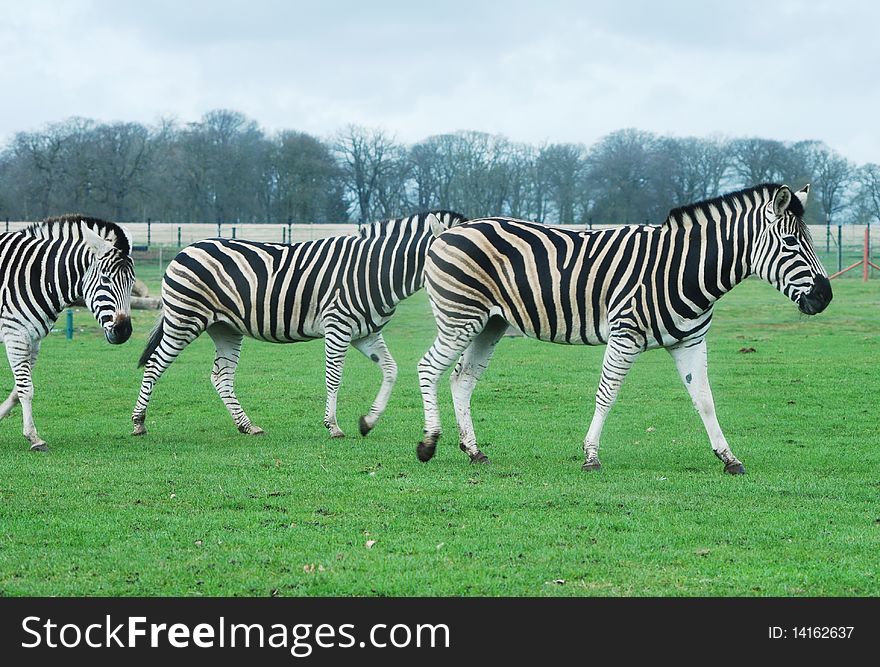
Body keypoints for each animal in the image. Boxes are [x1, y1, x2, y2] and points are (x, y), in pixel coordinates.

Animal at [0, 217, 134, 452]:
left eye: (132, 282)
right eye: (106, 280)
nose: (124, 331)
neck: (39, 276)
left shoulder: (33, 339)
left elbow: (18, 389)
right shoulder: (16, 335)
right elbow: (26, 388)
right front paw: (34, 438)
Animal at [131, 209, 468, 438]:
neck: (375, 270)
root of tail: (186, 249)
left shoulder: (366, 334)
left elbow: (391, 370)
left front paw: (369, 421)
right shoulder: (338, 326)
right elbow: (334, 377)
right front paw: (333, 426)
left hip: (225, 329)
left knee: (221, 377)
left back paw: (247, 425)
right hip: (184, 320)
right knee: (155, 365)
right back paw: (138, 423)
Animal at [418, 183, 832, 474]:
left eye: (812, 241)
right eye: (791, 242)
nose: (825, 297)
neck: (682, 268)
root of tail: (447, 231)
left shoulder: (690, 341)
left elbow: (705, 400)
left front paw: (728, 457)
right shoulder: (624, 334)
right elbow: (607, 395)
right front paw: (590, 456)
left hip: (490, 323)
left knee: (461, 379)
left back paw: (474, 451)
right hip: (460, 317)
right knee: (428, 367)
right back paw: (428, 444)